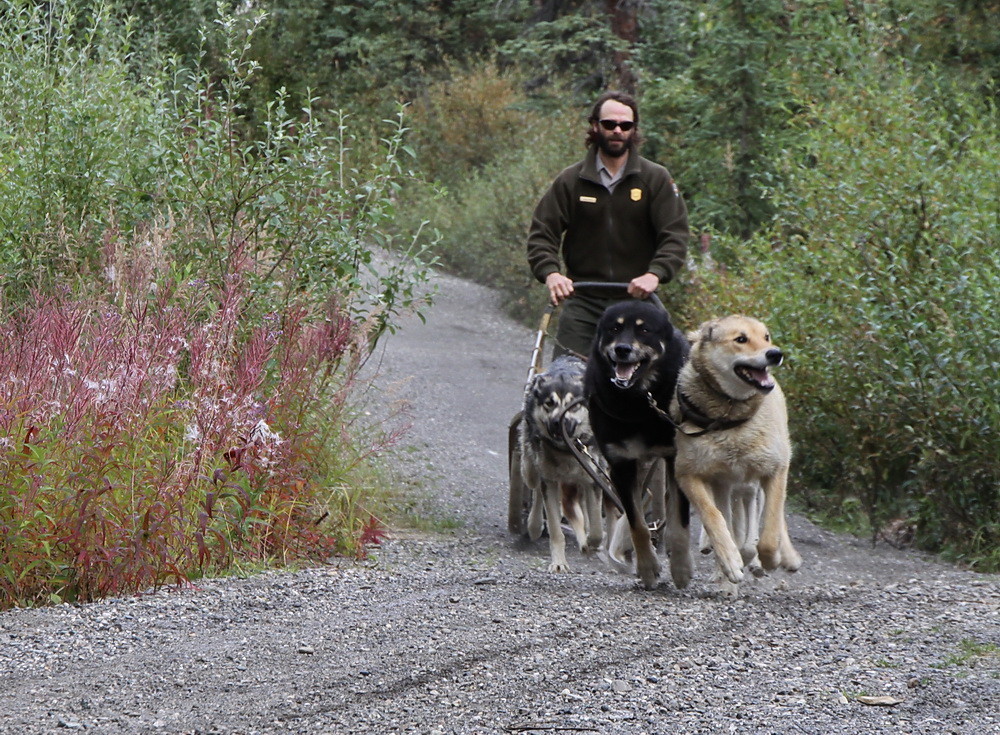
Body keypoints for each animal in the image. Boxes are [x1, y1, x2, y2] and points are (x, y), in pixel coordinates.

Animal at [584, 300, 692, 592]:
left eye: (644, 331)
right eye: (614, 328)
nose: (622, 349)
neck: (638, 401)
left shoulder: (676, 459)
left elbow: (679, 521)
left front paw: (680, 568)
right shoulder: (621, 465)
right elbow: (637, 523)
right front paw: (647, 568)